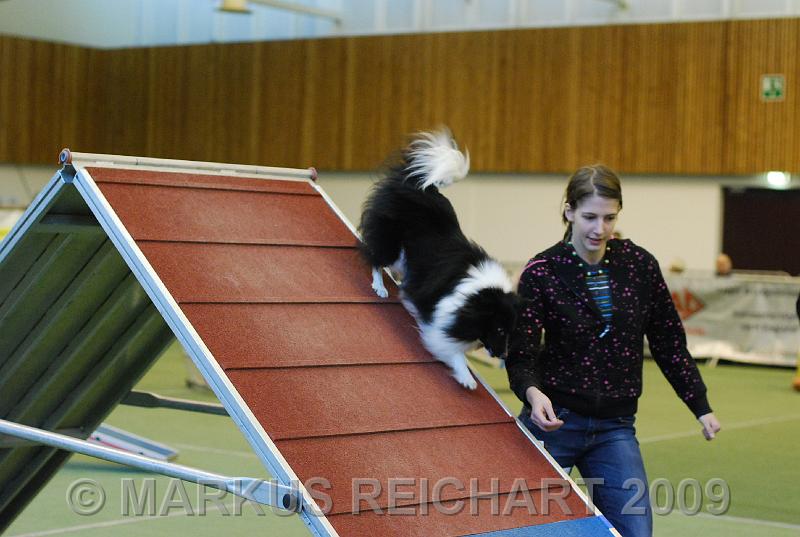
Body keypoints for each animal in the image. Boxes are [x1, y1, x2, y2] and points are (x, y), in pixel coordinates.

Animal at [358, 129, 518, 389]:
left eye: (510, 330)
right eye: (499, 328)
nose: (503, 355)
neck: (475, 297)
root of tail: (420, 184)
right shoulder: (440, 321)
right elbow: (450, 349)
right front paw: (466, 378)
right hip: (393, 244)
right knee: (376, 258)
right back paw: (380, 287)